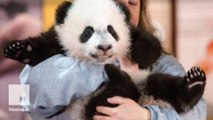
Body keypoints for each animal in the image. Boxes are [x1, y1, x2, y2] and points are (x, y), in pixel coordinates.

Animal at [3, 0, 206, 118]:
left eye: (111, 29)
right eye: (88, 31)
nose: (104, 47)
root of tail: (142, 98)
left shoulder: (130, 33)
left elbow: (147, 41)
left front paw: (141, 54)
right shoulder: (58, 39)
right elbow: (42, 49)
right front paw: (19, 49)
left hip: (146, 79)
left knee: (164, 84)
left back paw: (193, 83)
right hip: (93, 105)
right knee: (103, 103)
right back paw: (117, 80)